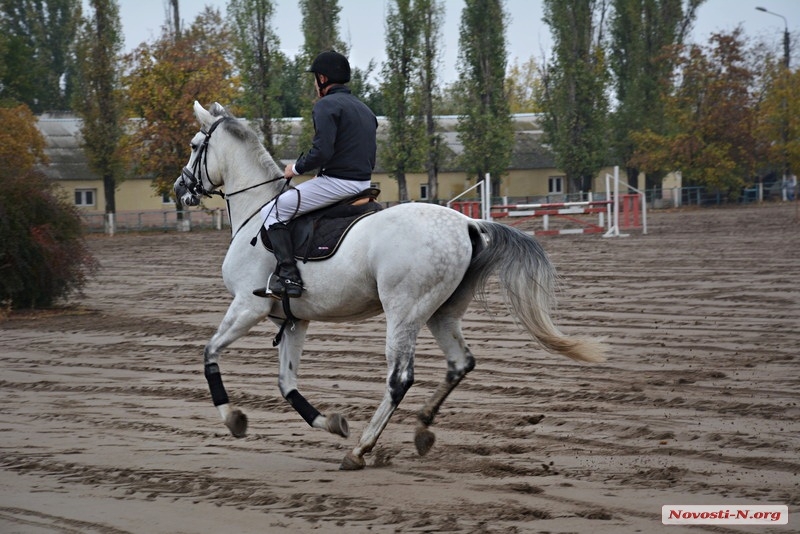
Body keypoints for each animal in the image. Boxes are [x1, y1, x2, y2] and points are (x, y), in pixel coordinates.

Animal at [173, 102, 600, 472]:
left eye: (194, 146)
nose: (180, 188)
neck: (258, 209)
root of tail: (467, 223)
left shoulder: (248, 306)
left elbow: (210, 354)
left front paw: (234, 418)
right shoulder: (293, 320)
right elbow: (287, 383)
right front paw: (331, 423)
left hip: (403, 312)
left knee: (399, 378)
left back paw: (361, 449)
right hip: (441, 313)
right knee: (460, 363)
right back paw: (422, 428)